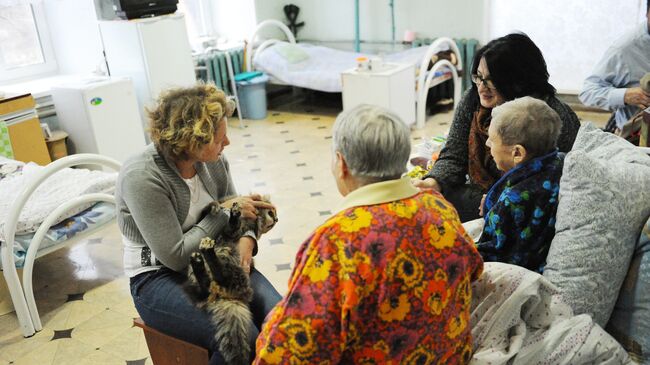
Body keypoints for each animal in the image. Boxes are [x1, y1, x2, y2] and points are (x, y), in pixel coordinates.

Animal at [182, 200, 276, 362]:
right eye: (271, 212)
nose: (276, 219)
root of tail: (224, 295)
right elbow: (210, 211)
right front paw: (216, 208)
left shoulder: (235, 232)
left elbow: (233, 228)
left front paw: (232, 215)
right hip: (195, 281)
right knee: (203, 290)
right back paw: (199, 264)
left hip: (233, 266)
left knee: (221, 277)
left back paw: (208, 256)